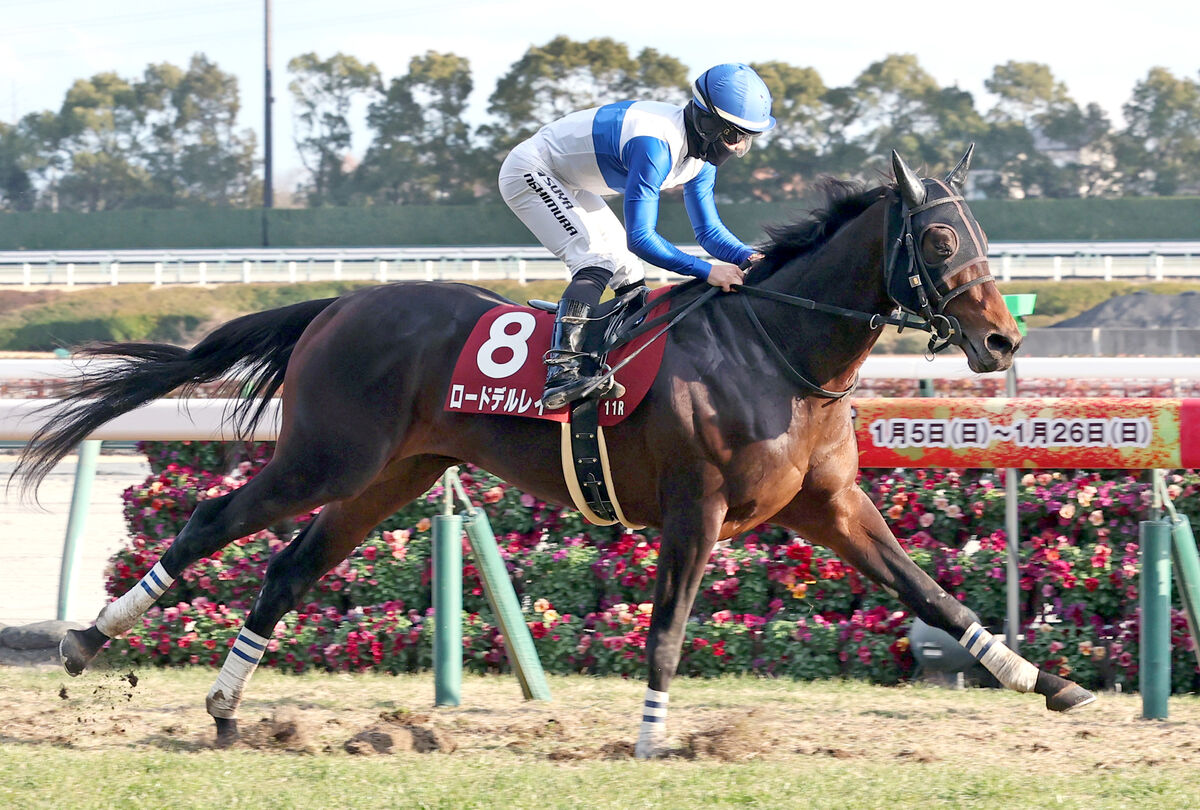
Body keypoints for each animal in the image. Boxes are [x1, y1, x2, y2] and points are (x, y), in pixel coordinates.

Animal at [11, 148, 1099, 758]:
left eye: (981, 237)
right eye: (941, 242)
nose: (1003, 340)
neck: (778, 349)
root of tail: (338, 302)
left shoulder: (828, 507)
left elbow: (934, 595)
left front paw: (1042, 679)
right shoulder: (697, 509)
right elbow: (667, 629)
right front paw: (653, 738)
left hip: (393, 475)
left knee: (289, 567)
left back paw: (231, 711)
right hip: (329, 457)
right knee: (213, 522)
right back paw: (86, 639)